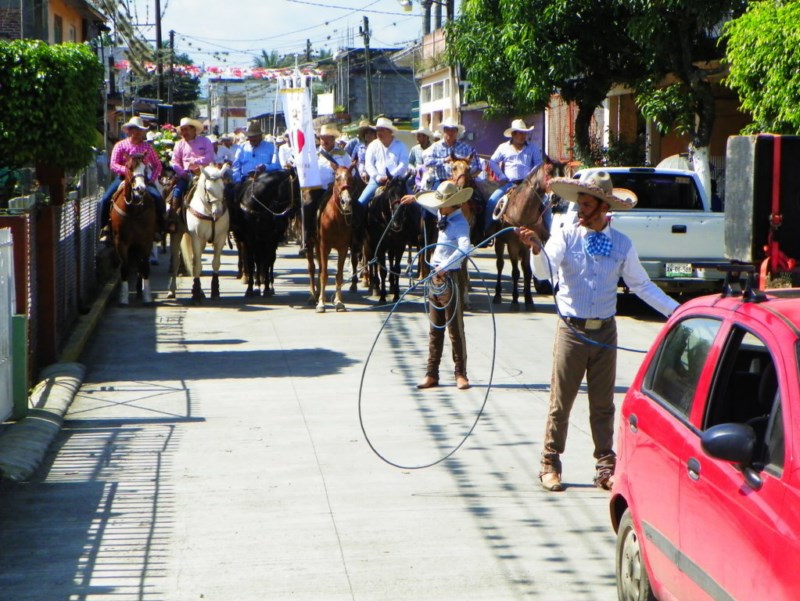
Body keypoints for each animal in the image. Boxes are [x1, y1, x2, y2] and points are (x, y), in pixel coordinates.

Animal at [109, 154, 158, 305]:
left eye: (145, 169)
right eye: (129, 168)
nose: (140, 188)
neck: (133, 210)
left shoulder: (146, 240)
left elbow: (145, 266)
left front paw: (147, 297)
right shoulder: (121, 242)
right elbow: (124, 267)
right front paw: (124, 298)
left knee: (140, 265)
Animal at [181, 164, 231, 304]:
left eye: (223, 187)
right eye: (208, 189)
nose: (217, 213)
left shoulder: (220, 238)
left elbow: (216, 263)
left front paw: (215, 291)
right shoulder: (196, 239)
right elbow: (197, 265)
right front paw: (196, 295)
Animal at [236, 168, 299, 297]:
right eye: (296, 186)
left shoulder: (270, 238)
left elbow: (267, 261)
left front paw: (266, 288)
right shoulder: (250, 238)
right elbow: (251, 262)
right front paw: (250, 288)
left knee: (269, 260)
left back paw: (268, 283)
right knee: (258, 260)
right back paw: (257, 283)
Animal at [490, 158, 561, 310]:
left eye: (563, 175)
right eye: (548, 173)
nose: (556, 197)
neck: (522, 212)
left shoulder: (529, 244)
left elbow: (527, 271)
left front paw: (528, 299)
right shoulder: (513, 245)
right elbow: (515, 272)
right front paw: (515, 301)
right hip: (500, 242)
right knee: (500, 265)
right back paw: (497, 295)